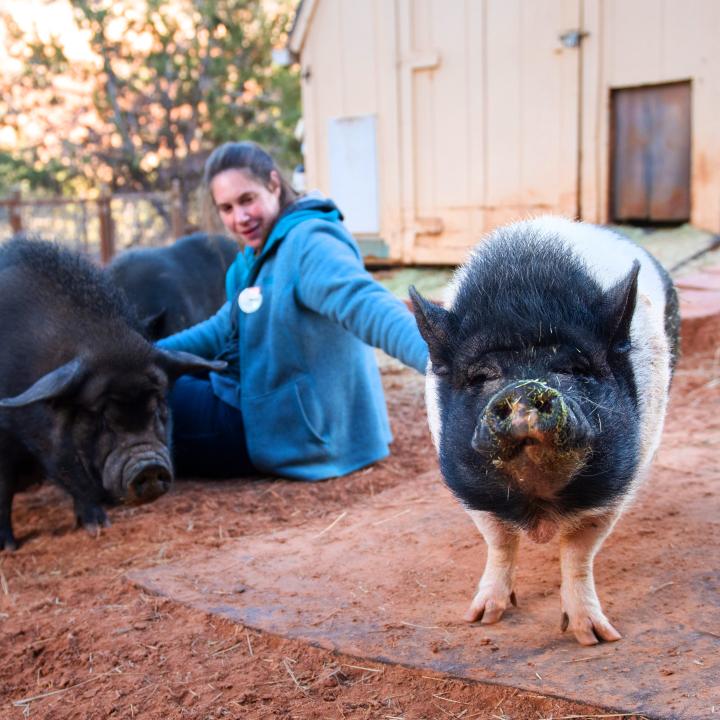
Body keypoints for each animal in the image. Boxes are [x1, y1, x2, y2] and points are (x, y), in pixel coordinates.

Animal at [0, 239, 225, 548]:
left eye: (158, 406)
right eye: (100, 417)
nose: (148, 466)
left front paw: (97, 525)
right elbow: (7, 485)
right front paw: (11, 547)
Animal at [410, 215, 680, 648]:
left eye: (575, 368)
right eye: (481, 376)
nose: (524, 388)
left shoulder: (615, 488)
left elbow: (578, 552)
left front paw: (596, 638)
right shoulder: (473, 490)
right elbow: (499, 541)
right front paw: (482, 619)